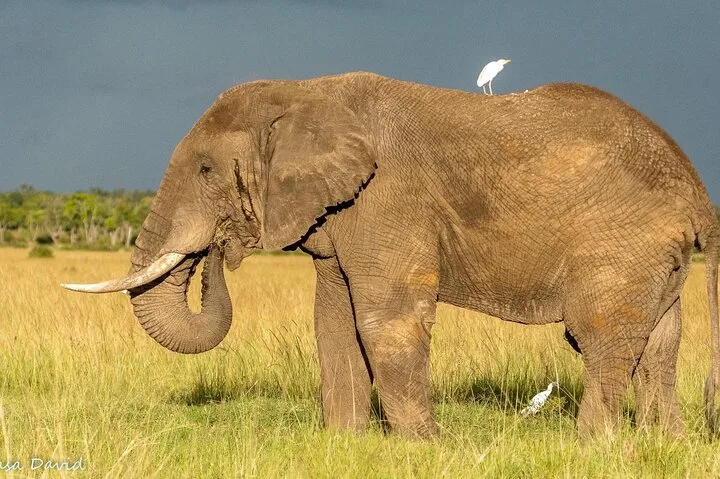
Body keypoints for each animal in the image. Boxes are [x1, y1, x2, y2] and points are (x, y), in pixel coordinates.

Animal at [63, 71, 720, 439]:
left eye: (204, 169)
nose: (221, 251)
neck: (309, 93)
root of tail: (693, 185)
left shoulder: (387, 197)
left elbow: (384, 318)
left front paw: (424, 448)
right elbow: (333, 321)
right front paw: (345, 445)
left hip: (623, 240)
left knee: (599, 335)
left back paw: (594, 447)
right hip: (654, 253)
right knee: (660, 343)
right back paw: (665, 445)